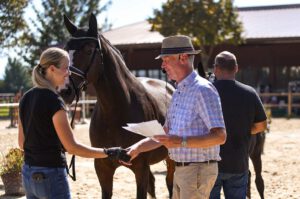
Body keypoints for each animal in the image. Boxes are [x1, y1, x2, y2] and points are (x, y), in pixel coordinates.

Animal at [61, 14, 175, 199]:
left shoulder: (140, 168)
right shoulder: (103, 168)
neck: (116, 111)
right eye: (66, 49)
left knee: (170, 184)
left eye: (88, 50)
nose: (65, 90)